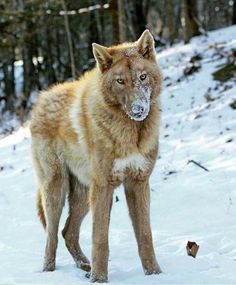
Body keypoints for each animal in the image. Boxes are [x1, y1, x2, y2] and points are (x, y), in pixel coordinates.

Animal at [30, 29, 162, 282]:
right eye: (120, 81)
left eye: (142, 77)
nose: (139, 109)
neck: (130, 134)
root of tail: (42, 99)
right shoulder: (104, 186)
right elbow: (100, 240)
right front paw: (99, 280)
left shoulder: (138, 182)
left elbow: (146, 237)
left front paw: (155, 274)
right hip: (57, 190)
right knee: (52, 237)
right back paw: (50, 272)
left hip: (83, 196)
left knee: (68, 232)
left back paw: (84, 266)